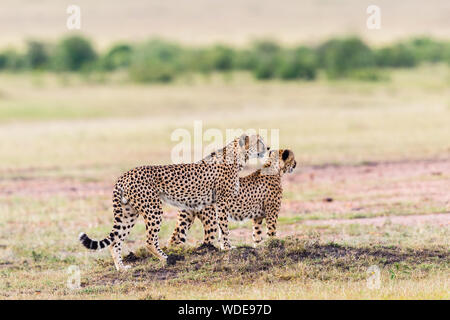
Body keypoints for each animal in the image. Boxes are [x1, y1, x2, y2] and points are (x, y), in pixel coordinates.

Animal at [78, 134, 268, 272]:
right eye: (259, 141)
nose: (268, 148)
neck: (236, 157)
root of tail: (125, 175)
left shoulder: (215, 203)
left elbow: (221, 229)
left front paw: (223, 246)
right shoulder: (221, 202)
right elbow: (225, 228)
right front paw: (228, 247)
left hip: (128, 212)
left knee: (115, 242)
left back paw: (122, 268)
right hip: (153, 208)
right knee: (149, 241)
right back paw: (167, 258)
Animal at [168, 149, 296, 248]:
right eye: (293, 159)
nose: (295, 164)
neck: (274, 168)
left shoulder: (258, 216)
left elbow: (257, 233)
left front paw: (259, 246)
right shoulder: (272, 213)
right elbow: (272, 231)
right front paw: (274, 244)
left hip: (187, 217)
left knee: (175, 238)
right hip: (212, 218)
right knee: (207, 240)